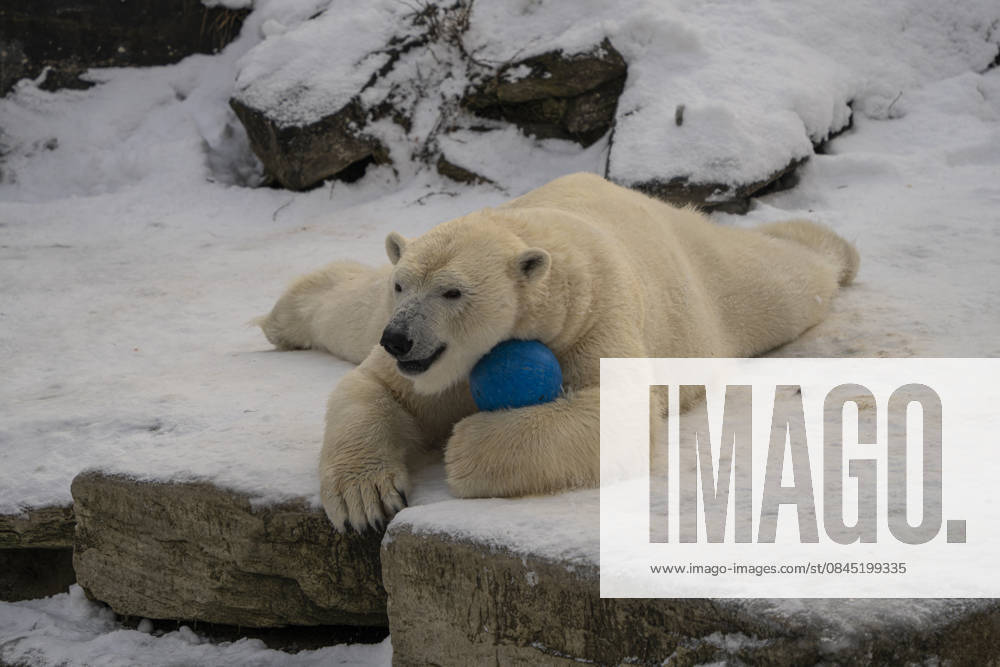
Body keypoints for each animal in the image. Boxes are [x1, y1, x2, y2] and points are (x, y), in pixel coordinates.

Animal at [258, 172, 859, 531]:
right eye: (403, 285)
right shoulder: (422, 360)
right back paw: (285, 315)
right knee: (352, 314)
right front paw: (365, 501)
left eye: (452, 292)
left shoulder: (591, 316)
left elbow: (615, 409)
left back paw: (834, 247)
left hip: (714, 286)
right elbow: (376, 388)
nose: (400, 338)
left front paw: (460, 447)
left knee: (784, 282)